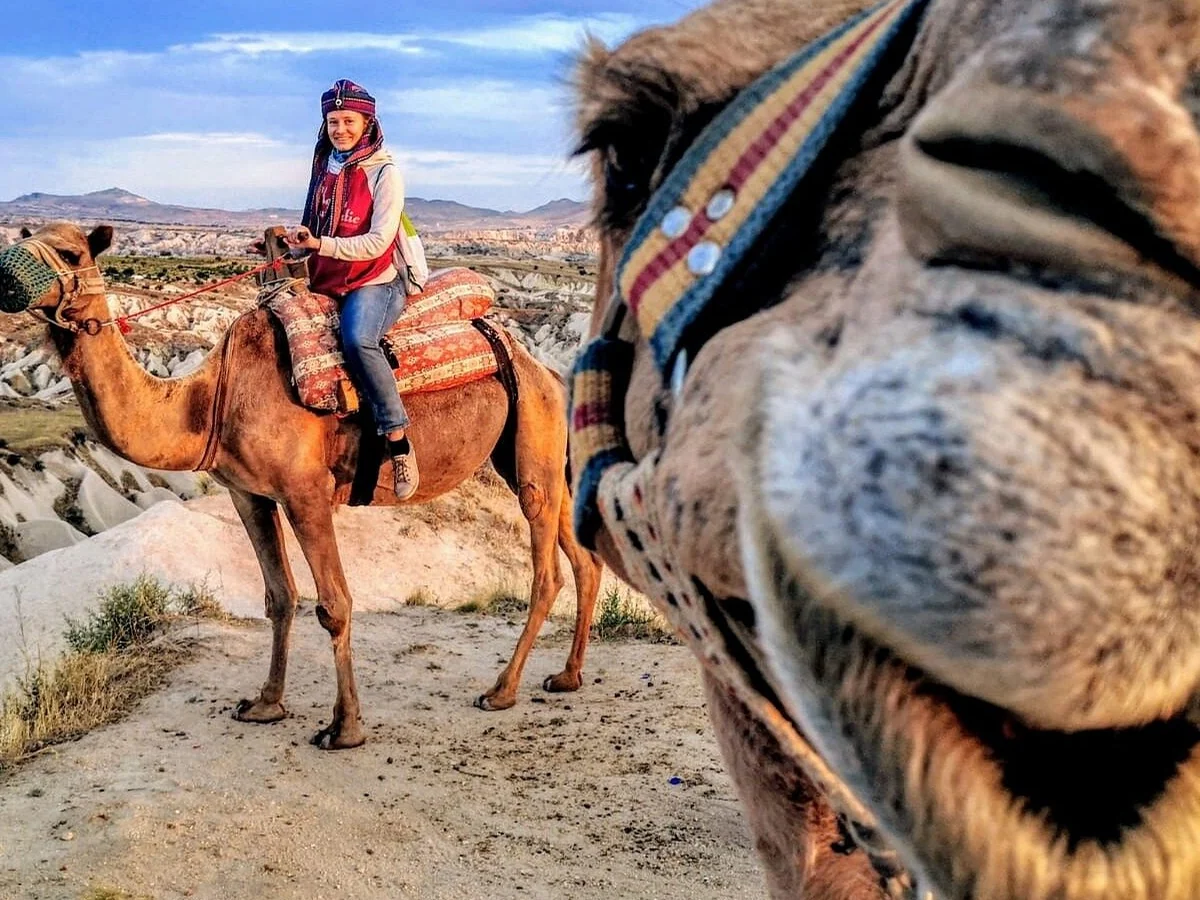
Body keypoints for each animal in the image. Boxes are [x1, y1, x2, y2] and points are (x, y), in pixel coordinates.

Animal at [4, 221, 603, 749]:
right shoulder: (248, 493)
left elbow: (333, 603)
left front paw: (345, 729)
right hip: (536, 453)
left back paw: (501, 691)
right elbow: (279, 597)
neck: (211, 398)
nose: (7, 275)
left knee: (547, 571)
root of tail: (547, 370)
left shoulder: (305, 492)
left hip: (533, 443)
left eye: (71, 253)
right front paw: (265, 704)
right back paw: (567, 676)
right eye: (25, 238)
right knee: (584, 557)